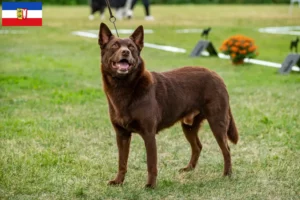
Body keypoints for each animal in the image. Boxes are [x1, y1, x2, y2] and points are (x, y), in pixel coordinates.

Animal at [99, 22, 239, 188]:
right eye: (114, 45)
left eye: (131, 47)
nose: (125, 52)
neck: (124, 87)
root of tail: (216, 75)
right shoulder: (121, 135)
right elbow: (122, 162)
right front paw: (118, 181)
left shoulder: (149, 134)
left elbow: (151, 163)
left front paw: (150, 185)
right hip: (189, 126)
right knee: (198, 146)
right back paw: (189, 169)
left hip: (217, 122)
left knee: (226, 149)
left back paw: (227, 174)